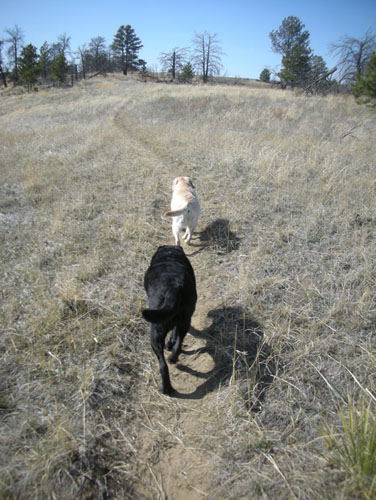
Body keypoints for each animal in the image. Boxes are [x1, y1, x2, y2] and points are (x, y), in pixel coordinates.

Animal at [142, 245, 198, 394]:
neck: (169, 256)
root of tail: (174, 286)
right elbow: (175, 332)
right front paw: (171, 342)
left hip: (155, 332)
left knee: (162, 365)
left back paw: (165, 388)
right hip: (185, 319)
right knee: (180, 339)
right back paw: (173, 357)